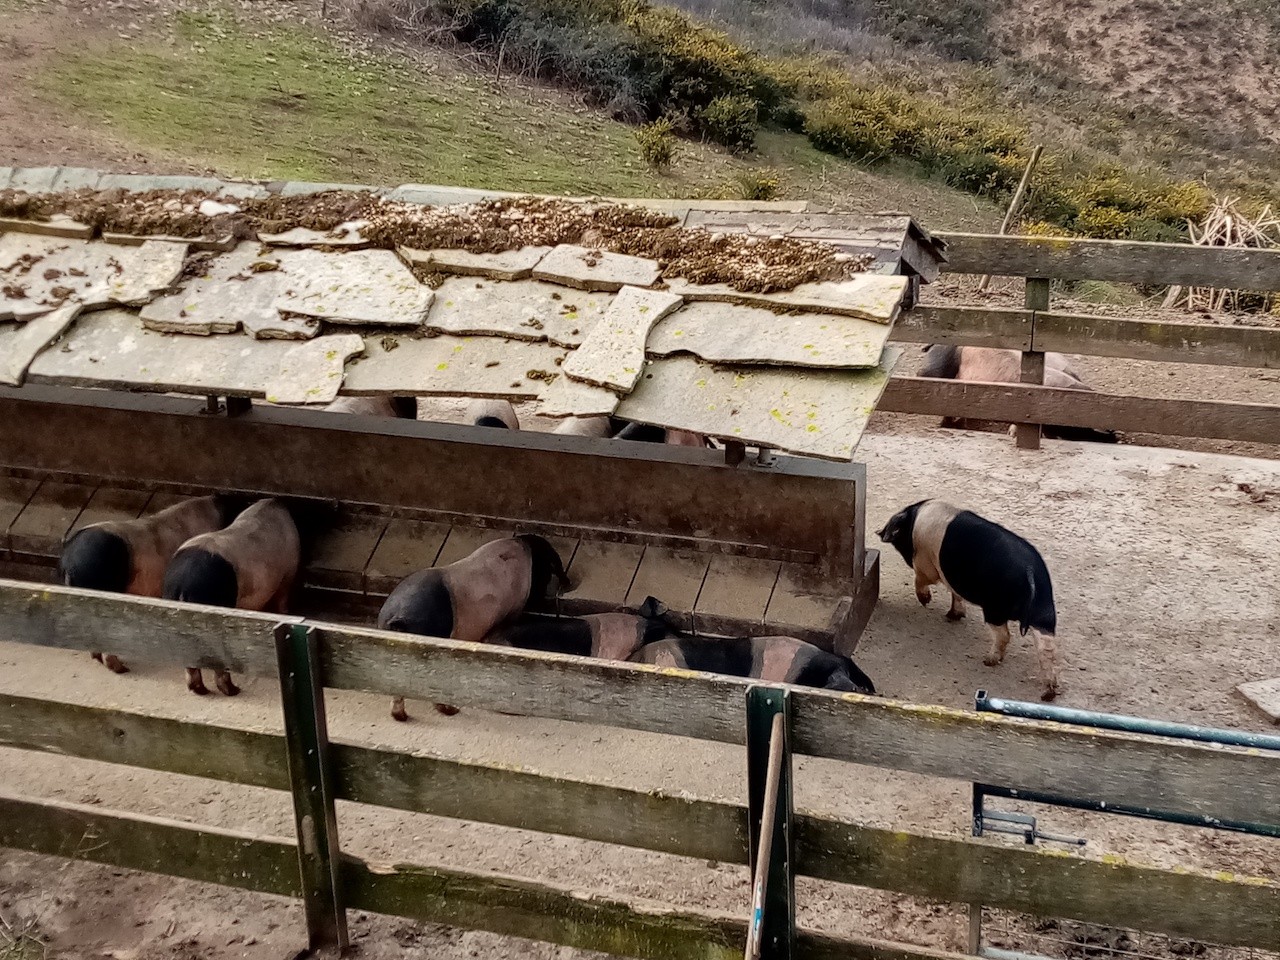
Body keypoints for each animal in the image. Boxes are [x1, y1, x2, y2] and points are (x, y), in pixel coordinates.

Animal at [880, 504, 1059, 701]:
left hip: (995, 608)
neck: (914, 520)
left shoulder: (925, 564)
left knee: (1004, 635)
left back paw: (988, 661)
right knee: (1047, 647)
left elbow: (921, 579)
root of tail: (1029, 572)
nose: (881, 533)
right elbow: (954, 594)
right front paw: (952, 616)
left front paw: (925, 602)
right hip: (1044, 611)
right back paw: (1048, 694)